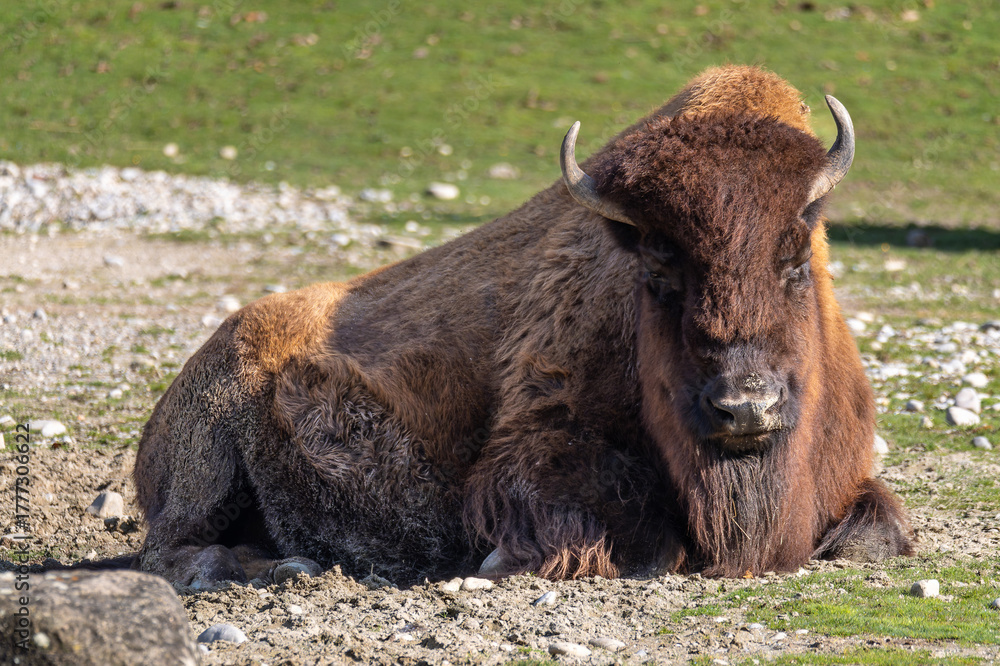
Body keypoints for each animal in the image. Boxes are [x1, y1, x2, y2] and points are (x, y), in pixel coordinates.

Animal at [134, 66, 913, 586]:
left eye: (797, 260)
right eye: (657, 270)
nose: (745, 407)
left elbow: (875, 534)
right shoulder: (533, 456)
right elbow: (619, 536)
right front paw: (499, 558)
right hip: (210, 457)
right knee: (170, 548)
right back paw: (263, 567)